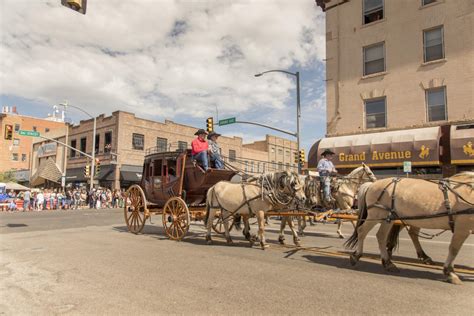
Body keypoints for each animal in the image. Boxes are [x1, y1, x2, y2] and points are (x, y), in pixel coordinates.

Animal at [344, 172, 474, 286]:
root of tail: (371, 184)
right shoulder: (462, 227)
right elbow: (454, 249)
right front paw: (450, 273)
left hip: (388, 218)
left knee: (381, 236)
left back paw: (388, 263)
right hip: (376, 214)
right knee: (362, 231)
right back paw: (356, 256)